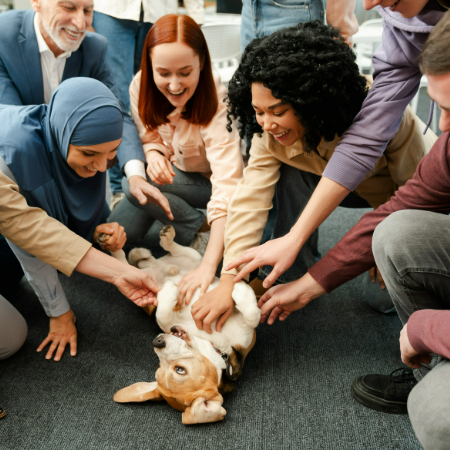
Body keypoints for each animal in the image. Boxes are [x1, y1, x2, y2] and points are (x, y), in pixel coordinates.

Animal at [113, 227, 260, 424]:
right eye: (161, 367)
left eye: (180, 370)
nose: (157, 341)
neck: (217, 345)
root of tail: (156, 268)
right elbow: (162, 316)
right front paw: (168, 293)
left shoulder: (247, 337)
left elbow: (253, 316)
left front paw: (241, 292)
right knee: (125, 266)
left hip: (195, 263)